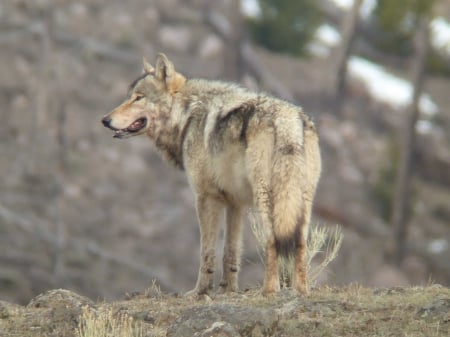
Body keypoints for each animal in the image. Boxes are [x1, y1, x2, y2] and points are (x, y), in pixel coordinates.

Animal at [102, 51, 320, 294]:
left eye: (138, 97)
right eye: (128, 97)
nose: (105, 120)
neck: (187, 115)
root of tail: (287, 119)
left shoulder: (205, 197)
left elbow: (206, 252)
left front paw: (200, 292)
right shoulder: (235, 203)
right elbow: (230, 253)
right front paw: (228, 290)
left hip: (266, 197)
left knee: (273, 240)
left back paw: (269, 291)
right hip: (300, 201)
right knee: (300, 242)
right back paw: (301, 291)